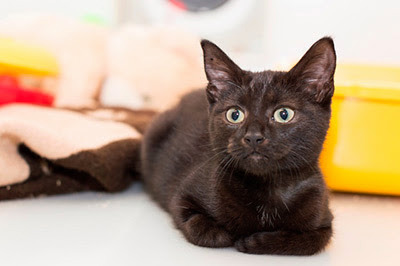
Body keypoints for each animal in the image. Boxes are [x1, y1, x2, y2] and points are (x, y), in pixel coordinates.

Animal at [142, 37, 336, 256]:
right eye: (235, 114)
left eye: (284, 114)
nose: (253, 137)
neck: (268, 188)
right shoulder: (181, 197)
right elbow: (203, 229)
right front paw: (229, 234)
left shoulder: (324, 220)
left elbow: (306, 242)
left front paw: (253, 241)